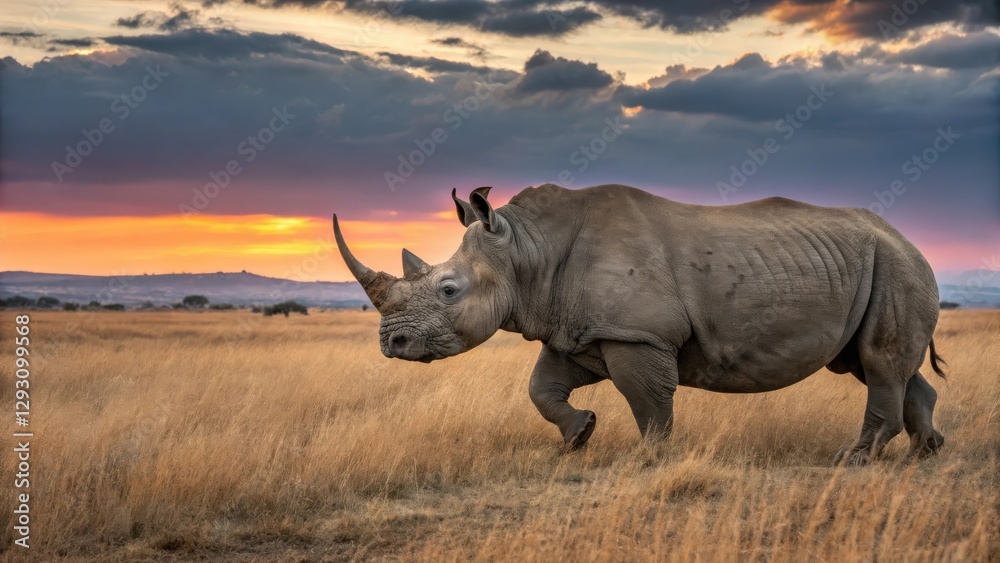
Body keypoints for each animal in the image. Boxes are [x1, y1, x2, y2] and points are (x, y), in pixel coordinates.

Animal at [334, 184, 946, 464]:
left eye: (449, 290)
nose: (392, 343)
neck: (527, 253)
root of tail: (909, 241)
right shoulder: (580, 329)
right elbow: (541, 388)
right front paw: (579, 435)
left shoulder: (637, 334)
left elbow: (646, 398)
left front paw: (650, 458)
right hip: (879, 266)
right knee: (873, 364)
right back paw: (926, 453)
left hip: (897, 266)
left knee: (878, 362)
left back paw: (854, 460)